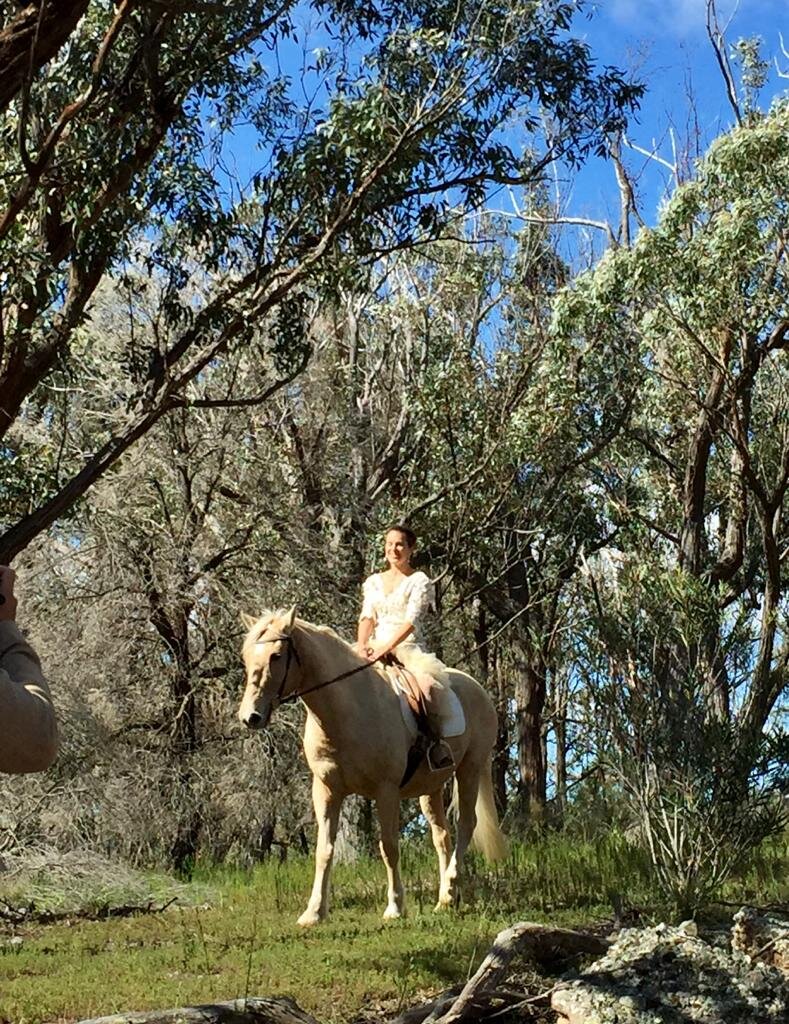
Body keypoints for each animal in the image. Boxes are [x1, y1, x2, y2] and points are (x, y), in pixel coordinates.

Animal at [236, 602, 505, 925]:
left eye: (276, 655)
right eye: (246, 657)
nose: (250, 717)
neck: (346, 710)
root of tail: (476, 687)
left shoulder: (385, 790)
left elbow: (388, 846)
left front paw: (395, 907)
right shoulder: (326, 790)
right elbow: (324, 850)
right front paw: (314, 913)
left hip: (470, 769)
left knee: (466, 824)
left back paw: (450, 888)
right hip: (431, 787)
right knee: (442, 835)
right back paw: (446, 899)